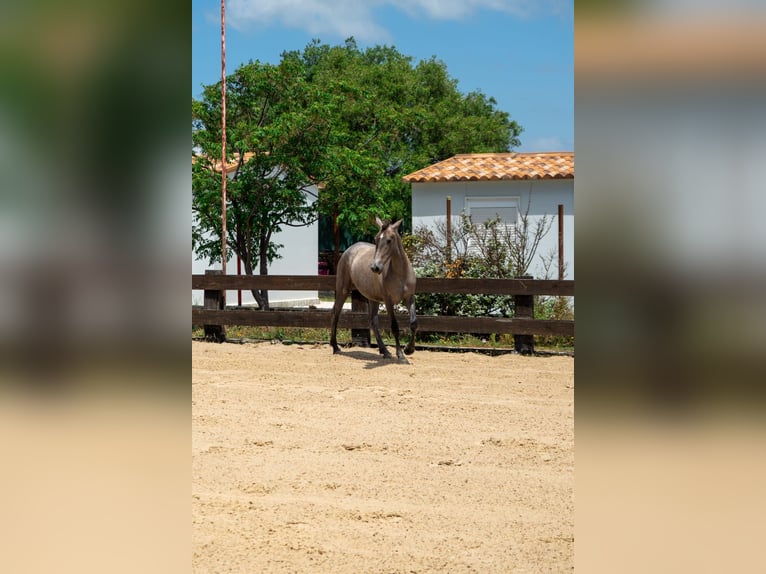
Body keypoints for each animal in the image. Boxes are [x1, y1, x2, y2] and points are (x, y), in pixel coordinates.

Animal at [330, 217, 418, 363]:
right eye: (376, 239)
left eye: (389, 240)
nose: (375, 267)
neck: (400, 274)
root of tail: (349, 249)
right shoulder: (388, 301)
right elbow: (395, 327)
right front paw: (401, 355)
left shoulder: (409, 298)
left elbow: (414, 323)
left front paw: (409, 349)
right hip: (343, 290)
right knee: (336, 313)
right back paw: (335, 347)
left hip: (373, 299)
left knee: (373, 321)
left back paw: (385, 351)